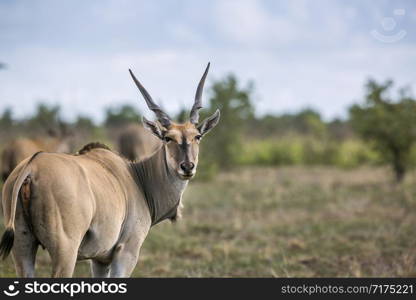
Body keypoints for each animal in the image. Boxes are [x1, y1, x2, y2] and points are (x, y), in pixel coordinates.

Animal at [0, 62, 219, 276]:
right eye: (167, 138)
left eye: (197, 136)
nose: (187, 166)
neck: (139, 178)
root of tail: (32, 167)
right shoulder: (126, 251)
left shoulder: (100, 260)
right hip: (65, 253)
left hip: (22, 247)